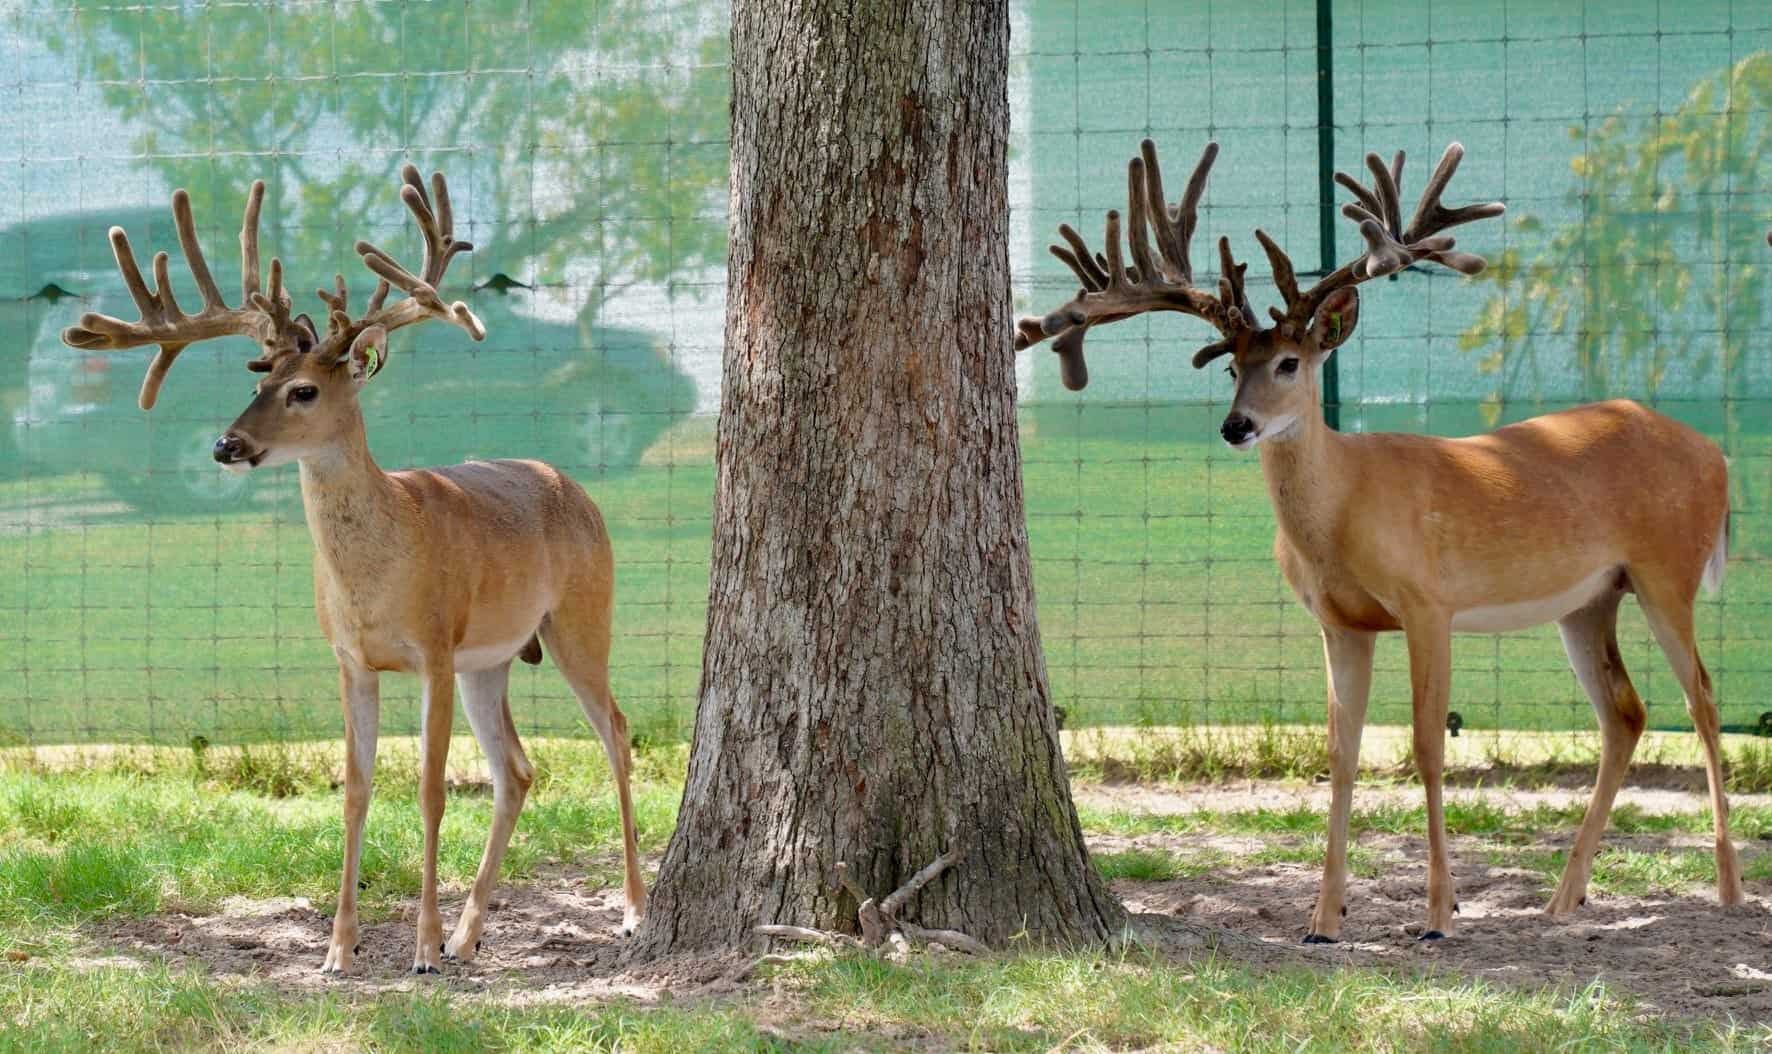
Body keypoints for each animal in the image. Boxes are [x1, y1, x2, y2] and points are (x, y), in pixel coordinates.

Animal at [62, 167, 648, 974]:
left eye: (304, 390)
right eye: (257, 381)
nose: (224, 445)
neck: (378, 571)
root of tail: (574, 485)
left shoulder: (434, 649)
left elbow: (431, 790)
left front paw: (422, 946)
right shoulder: (351, 660)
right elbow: (356, 790)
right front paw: (340, 947)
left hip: (581, 617)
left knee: (615, 733)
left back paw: (629, 912)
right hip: (491, 659)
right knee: (519, 768)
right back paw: (472, 933)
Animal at [1017, 139, 1741, 942]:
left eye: (1290, 363)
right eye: (1232, 365)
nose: (1236, 426)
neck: (1340, 512)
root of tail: (1716, 454)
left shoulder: (1428, 603)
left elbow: (1426, 749)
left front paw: (1438, 913)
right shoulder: (1341, 623)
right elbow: (1342, 755)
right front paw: (1323, 919)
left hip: (1666, 570)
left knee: (1704, 701)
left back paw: (1728, 889)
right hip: (1587, 602)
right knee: (1627, 713)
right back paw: (1563, 898)